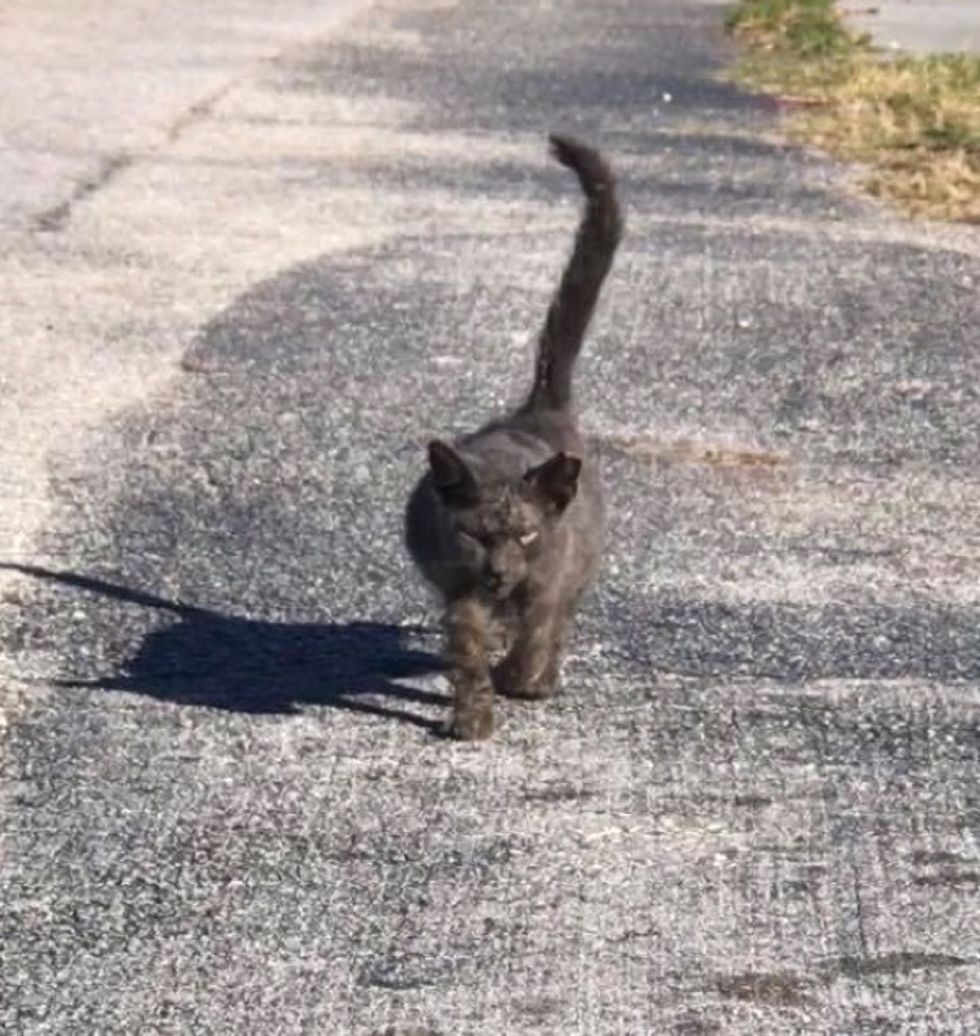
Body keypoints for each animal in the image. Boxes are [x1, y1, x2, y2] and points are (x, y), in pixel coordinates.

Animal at [404, 133, 617, 741]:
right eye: (474, 535)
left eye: (525, 535)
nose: (498, 573)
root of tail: (538, 411)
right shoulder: (460, 589)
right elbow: (467, 649)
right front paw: (474, 714)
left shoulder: (550, 578)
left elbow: (540, 631)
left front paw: (522, 679)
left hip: (582, 555)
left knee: (558, 621)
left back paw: (540, 678)